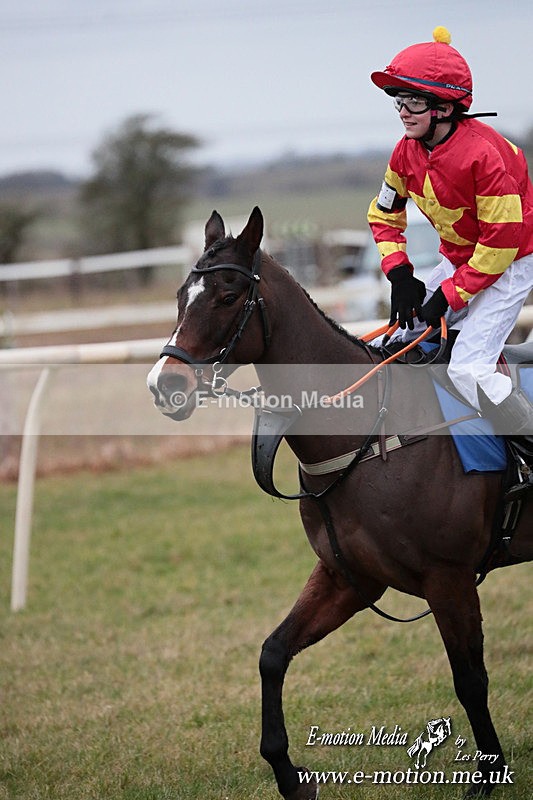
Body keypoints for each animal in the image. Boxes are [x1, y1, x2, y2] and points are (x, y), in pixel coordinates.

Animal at [147, 207, 532, 799]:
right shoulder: (349, 576)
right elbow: (272, 653)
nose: (165, 385)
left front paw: (488, 775)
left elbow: (470, 679)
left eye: (229, 296)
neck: (372, 433)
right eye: (180, 294)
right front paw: (290, 775)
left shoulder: (448, 576)